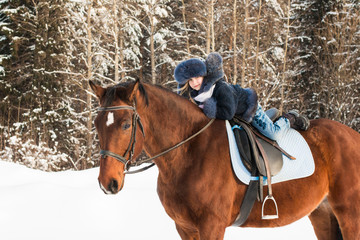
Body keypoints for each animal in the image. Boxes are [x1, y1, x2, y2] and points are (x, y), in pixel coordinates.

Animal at [90, 79, 360, 239]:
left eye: (126, 125)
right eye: (97, 124)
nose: (107, 183)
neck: (189, 151)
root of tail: (352, 136)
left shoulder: (212, 225)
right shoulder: (184, 227)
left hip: (348, 213)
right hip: (322, 213)